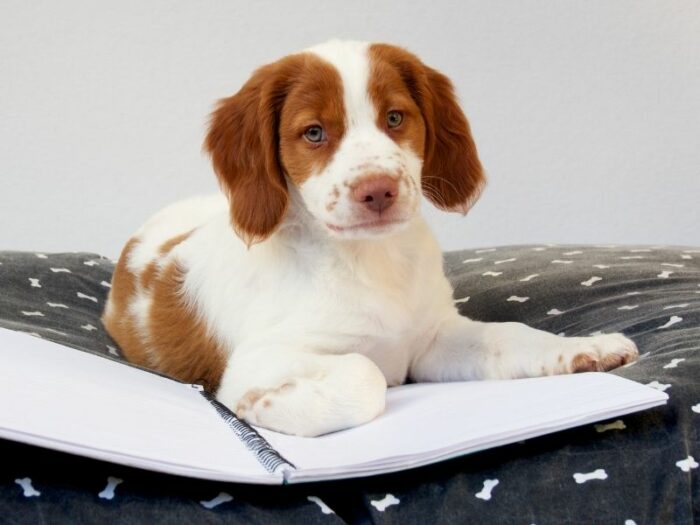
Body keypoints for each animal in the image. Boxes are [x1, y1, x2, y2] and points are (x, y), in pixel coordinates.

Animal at [101, 40, 636, 434]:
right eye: (314, 132)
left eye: (395, 118)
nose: (377, 190)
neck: (368, 259)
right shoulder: (259, 359)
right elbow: (366, 373)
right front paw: (267, 403)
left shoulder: (434, 339)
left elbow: (510, 335)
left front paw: (586, 348)